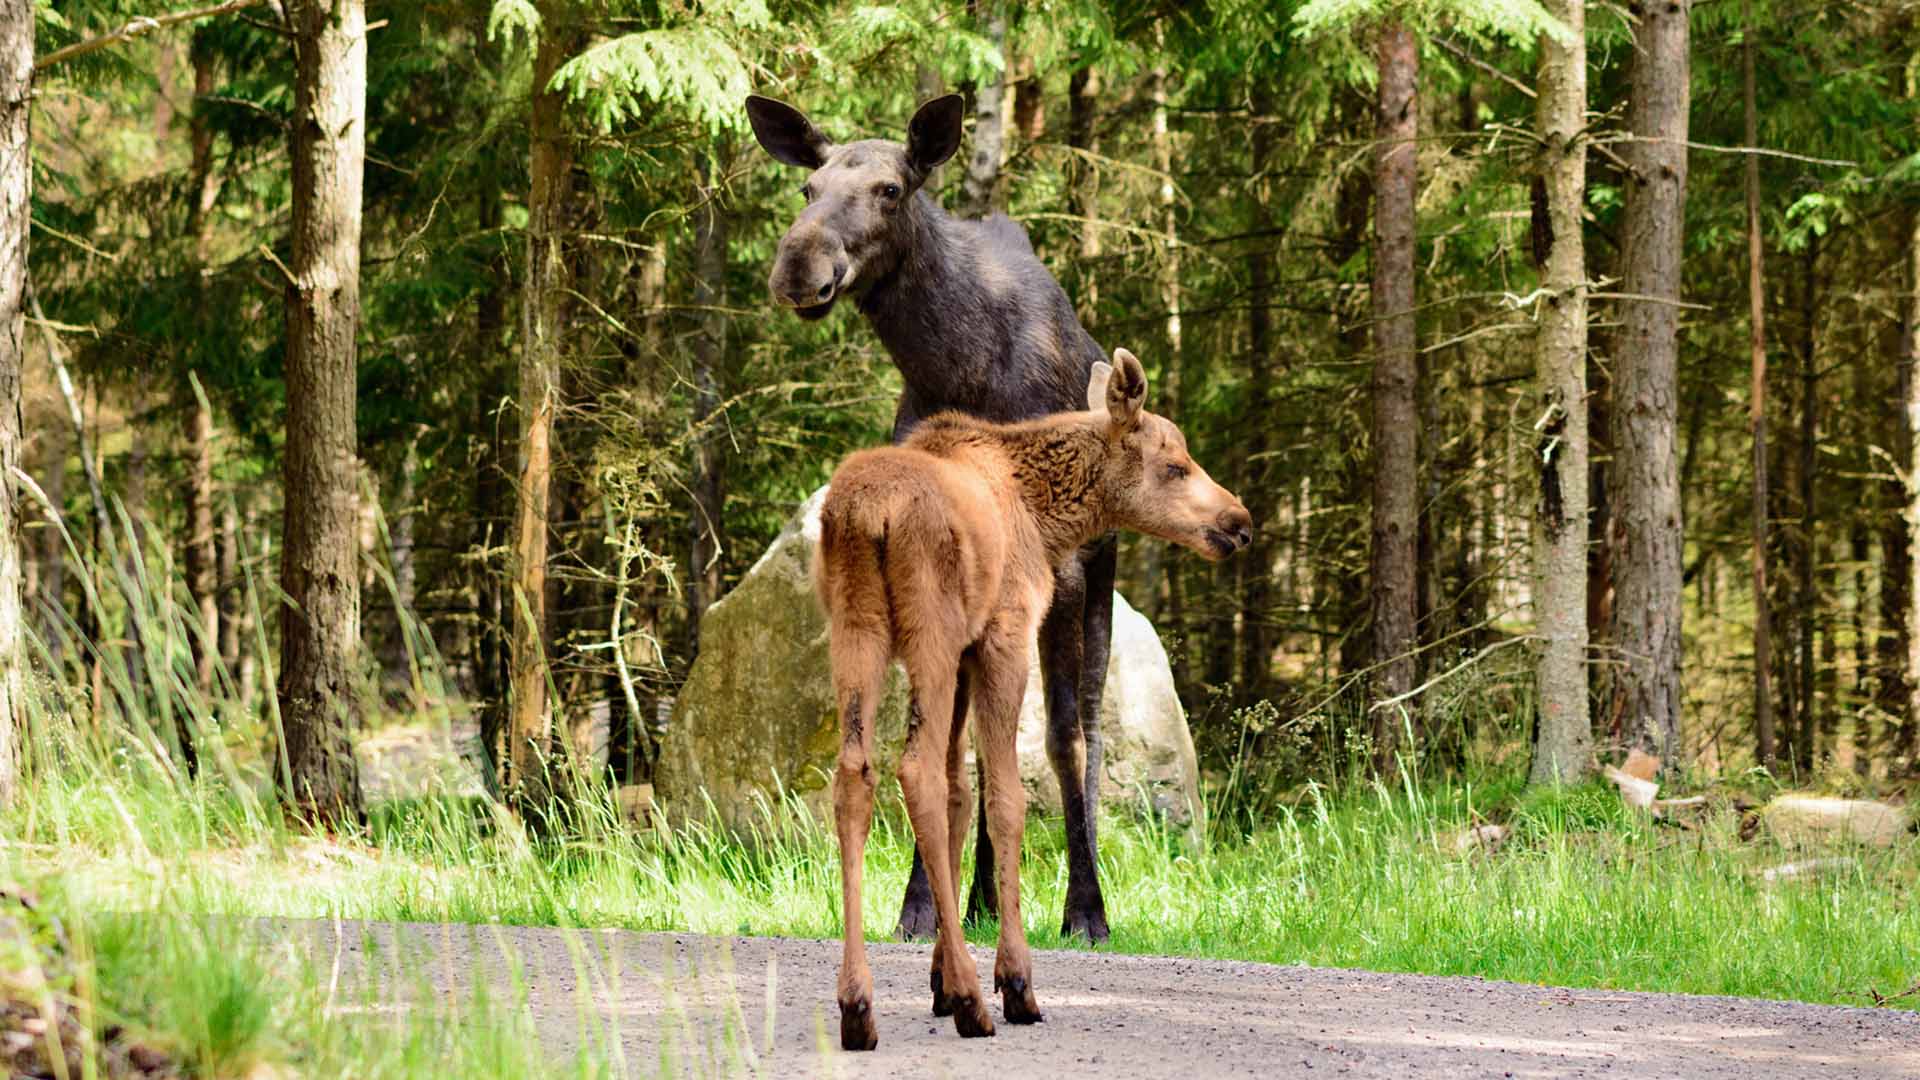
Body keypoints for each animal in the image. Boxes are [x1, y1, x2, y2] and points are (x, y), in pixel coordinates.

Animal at [744, 90, 1121, 933]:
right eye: (807, 188)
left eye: (890, 188)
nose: (798, 268)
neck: (959, 369)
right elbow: (934, 736)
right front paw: (923, 903)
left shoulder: (1065, 573)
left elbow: (1063, 737)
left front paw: (1085, 909)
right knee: (982, 738)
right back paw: (979, 897)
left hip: (1102, 577)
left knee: (1080, 726)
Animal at [814, 345, 1251, 1045]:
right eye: (1175, 465)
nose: (1239, 522)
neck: (1046, 515)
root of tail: (868, 517)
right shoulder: (1004, 633)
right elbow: (1005, 799)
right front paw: (1009, 979)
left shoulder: (968, 652)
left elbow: (963, 797)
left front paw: (938, 981)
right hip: (930, 631)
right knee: (913, 770)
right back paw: (973, 998)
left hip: (857, 632)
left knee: (857, 772)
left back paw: (858, 1002)